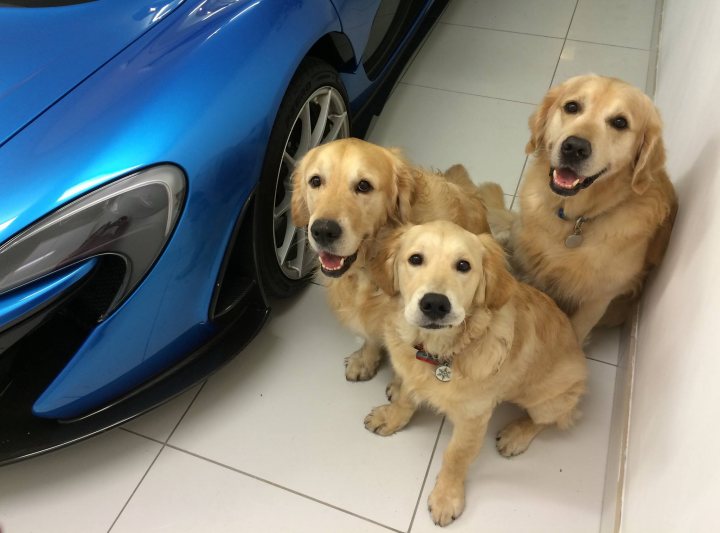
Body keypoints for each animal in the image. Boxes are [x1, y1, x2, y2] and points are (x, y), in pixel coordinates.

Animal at [292, 137, 490, 378]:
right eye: (316, 181)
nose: (323, 231)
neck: (369, 269)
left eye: (364, 185)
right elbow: (371, 336)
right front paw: (365, 360)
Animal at [366, 219, 584, 524]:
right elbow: (406, 400)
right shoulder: (413, 375)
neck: (441, 353)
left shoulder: (474, 418)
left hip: (549, 399)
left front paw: (446, 497)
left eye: (463, 265)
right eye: (415, 259)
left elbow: (456, 456)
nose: (435, 304)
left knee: (549, 420)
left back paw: (516, 435)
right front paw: (391, 417)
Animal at [484, 75, 676, 340]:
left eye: (620, 122)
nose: (574, 147)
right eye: (572, 107)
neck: (576, 219)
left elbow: (574, 333)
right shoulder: (534, 267)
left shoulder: (598, 299)